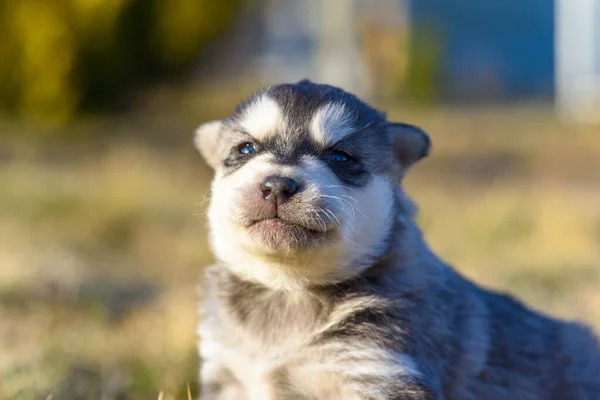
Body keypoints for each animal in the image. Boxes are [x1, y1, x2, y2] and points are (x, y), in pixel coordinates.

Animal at [195, 79, 596, 398]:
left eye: (340, 156)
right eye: (246, 149)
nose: (277, 185)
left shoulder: (380, 370)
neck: (288, 289)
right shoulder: (228, 374)